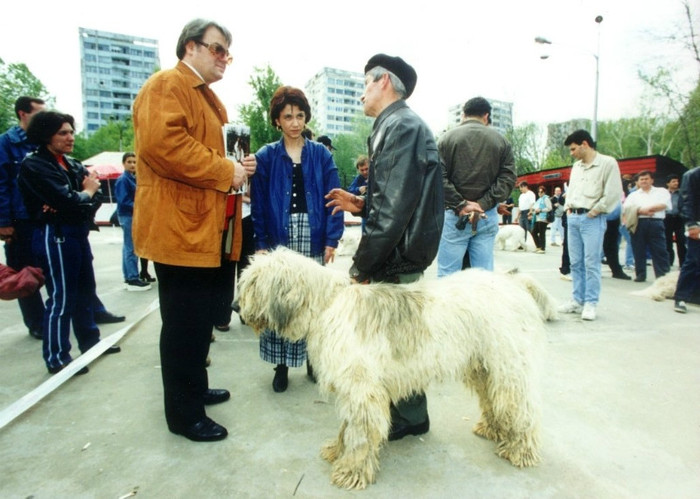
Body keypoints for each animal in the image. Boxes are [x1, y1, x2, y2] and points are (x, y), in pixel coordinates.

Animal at [238, 248, 556, 490]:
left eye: (253, 284)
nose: (234, 307)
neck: (327, 305)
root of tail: (514, 282)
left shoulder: (361, 389)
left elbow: (358, 433)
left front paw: (351, 471)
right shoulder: (354, 388)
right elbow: (347, 427)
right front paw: (337, 450)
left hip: (509, 365)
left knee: (522, 408)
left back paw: (520, 449)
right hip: (483, 366)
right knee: (494, 400)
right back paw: (494, 428)